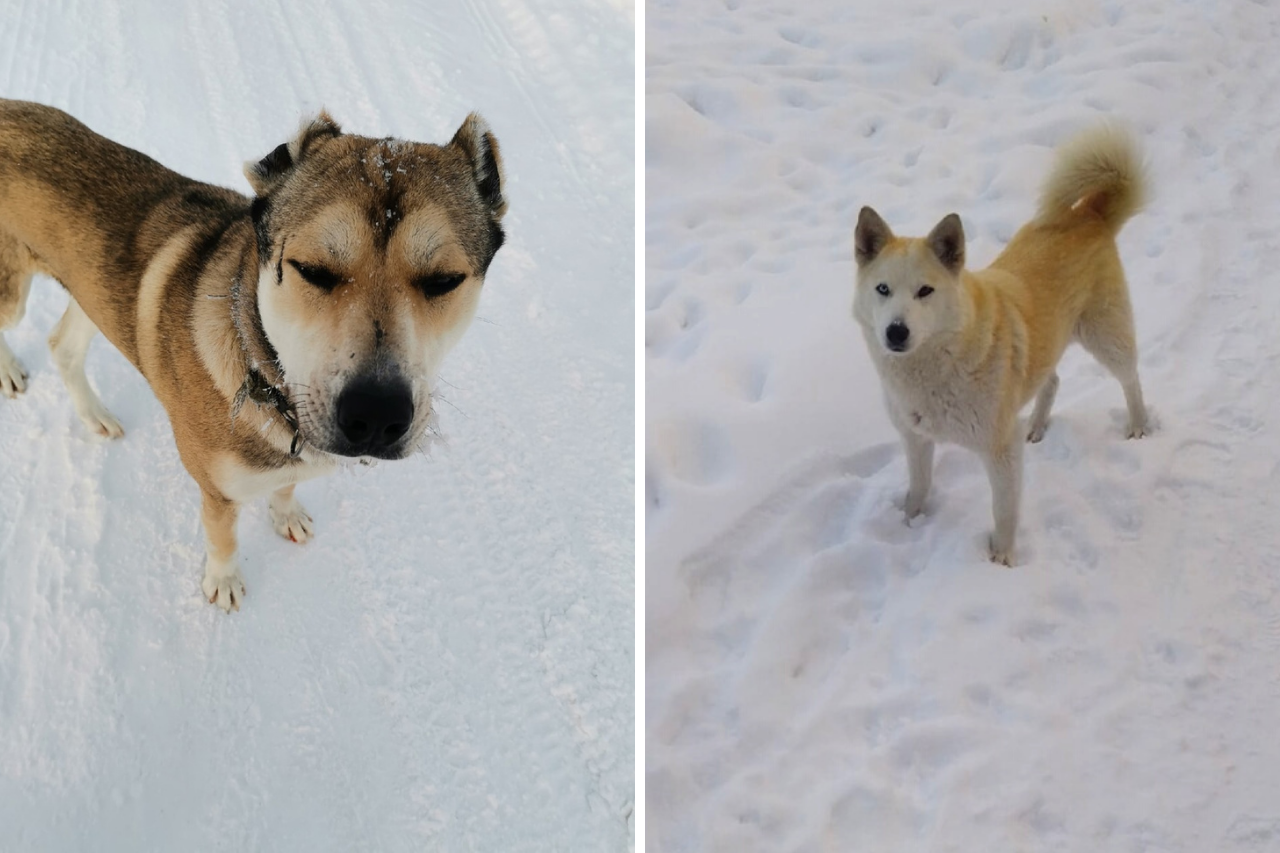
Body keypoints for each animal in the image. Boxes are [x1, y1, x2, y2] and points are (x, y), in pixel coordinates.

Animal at [0, 97, 506, 604]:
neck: (265, 374)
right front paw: (224, 581)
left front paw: (286, 512)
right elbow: (223, 537)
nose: (377, 415)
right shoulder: (217, 489)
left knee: (61, 345)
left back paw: (95, 415)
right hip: (12, 296)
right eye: (312, 269)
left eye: (444, 280)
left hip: (91, 295)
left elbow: (285, 488)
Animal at [855, 124, 1146, 563]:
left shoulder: (1000, 449)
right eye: (883, 289)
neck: (940, 364)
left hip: (1106, 337)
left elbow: (1004, 510)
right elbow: (918, 489)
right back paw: (1038, 426)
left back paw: (1140, 426)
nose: (896, 332)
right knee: (1052, 380)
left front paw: (1002, 560)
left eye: (925, 291)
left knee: (1131, 379)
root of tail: (1088, 213)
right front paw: (908, 524)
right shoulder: (916, 440)